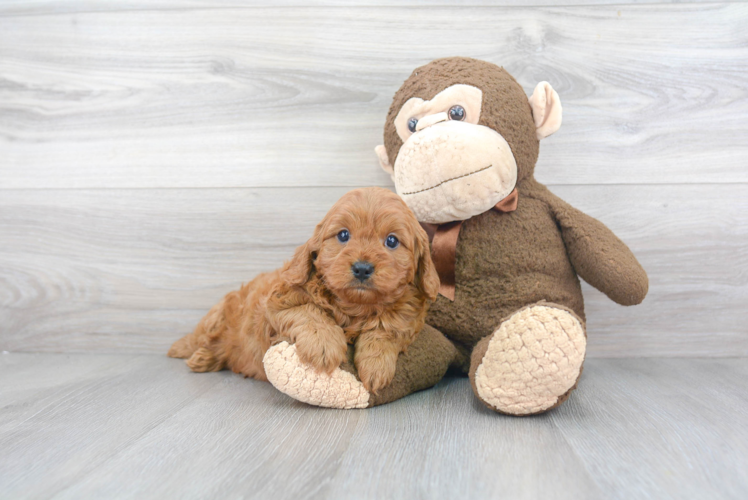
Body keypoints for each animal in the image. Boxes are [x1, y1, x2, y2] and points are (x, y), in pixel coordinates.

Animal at [169, 186, 438, 392]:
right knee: (201, 337)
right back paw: (196, 354)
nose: (362, 268)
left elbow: (388, 326)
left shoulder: (409, 313)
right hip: (217, 317)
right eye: (343, 235)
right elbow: (309, 311)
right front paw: (324, 345)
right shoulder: (274, 304)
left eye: (392, 241)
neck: (354, 307)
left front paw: (376, 364)